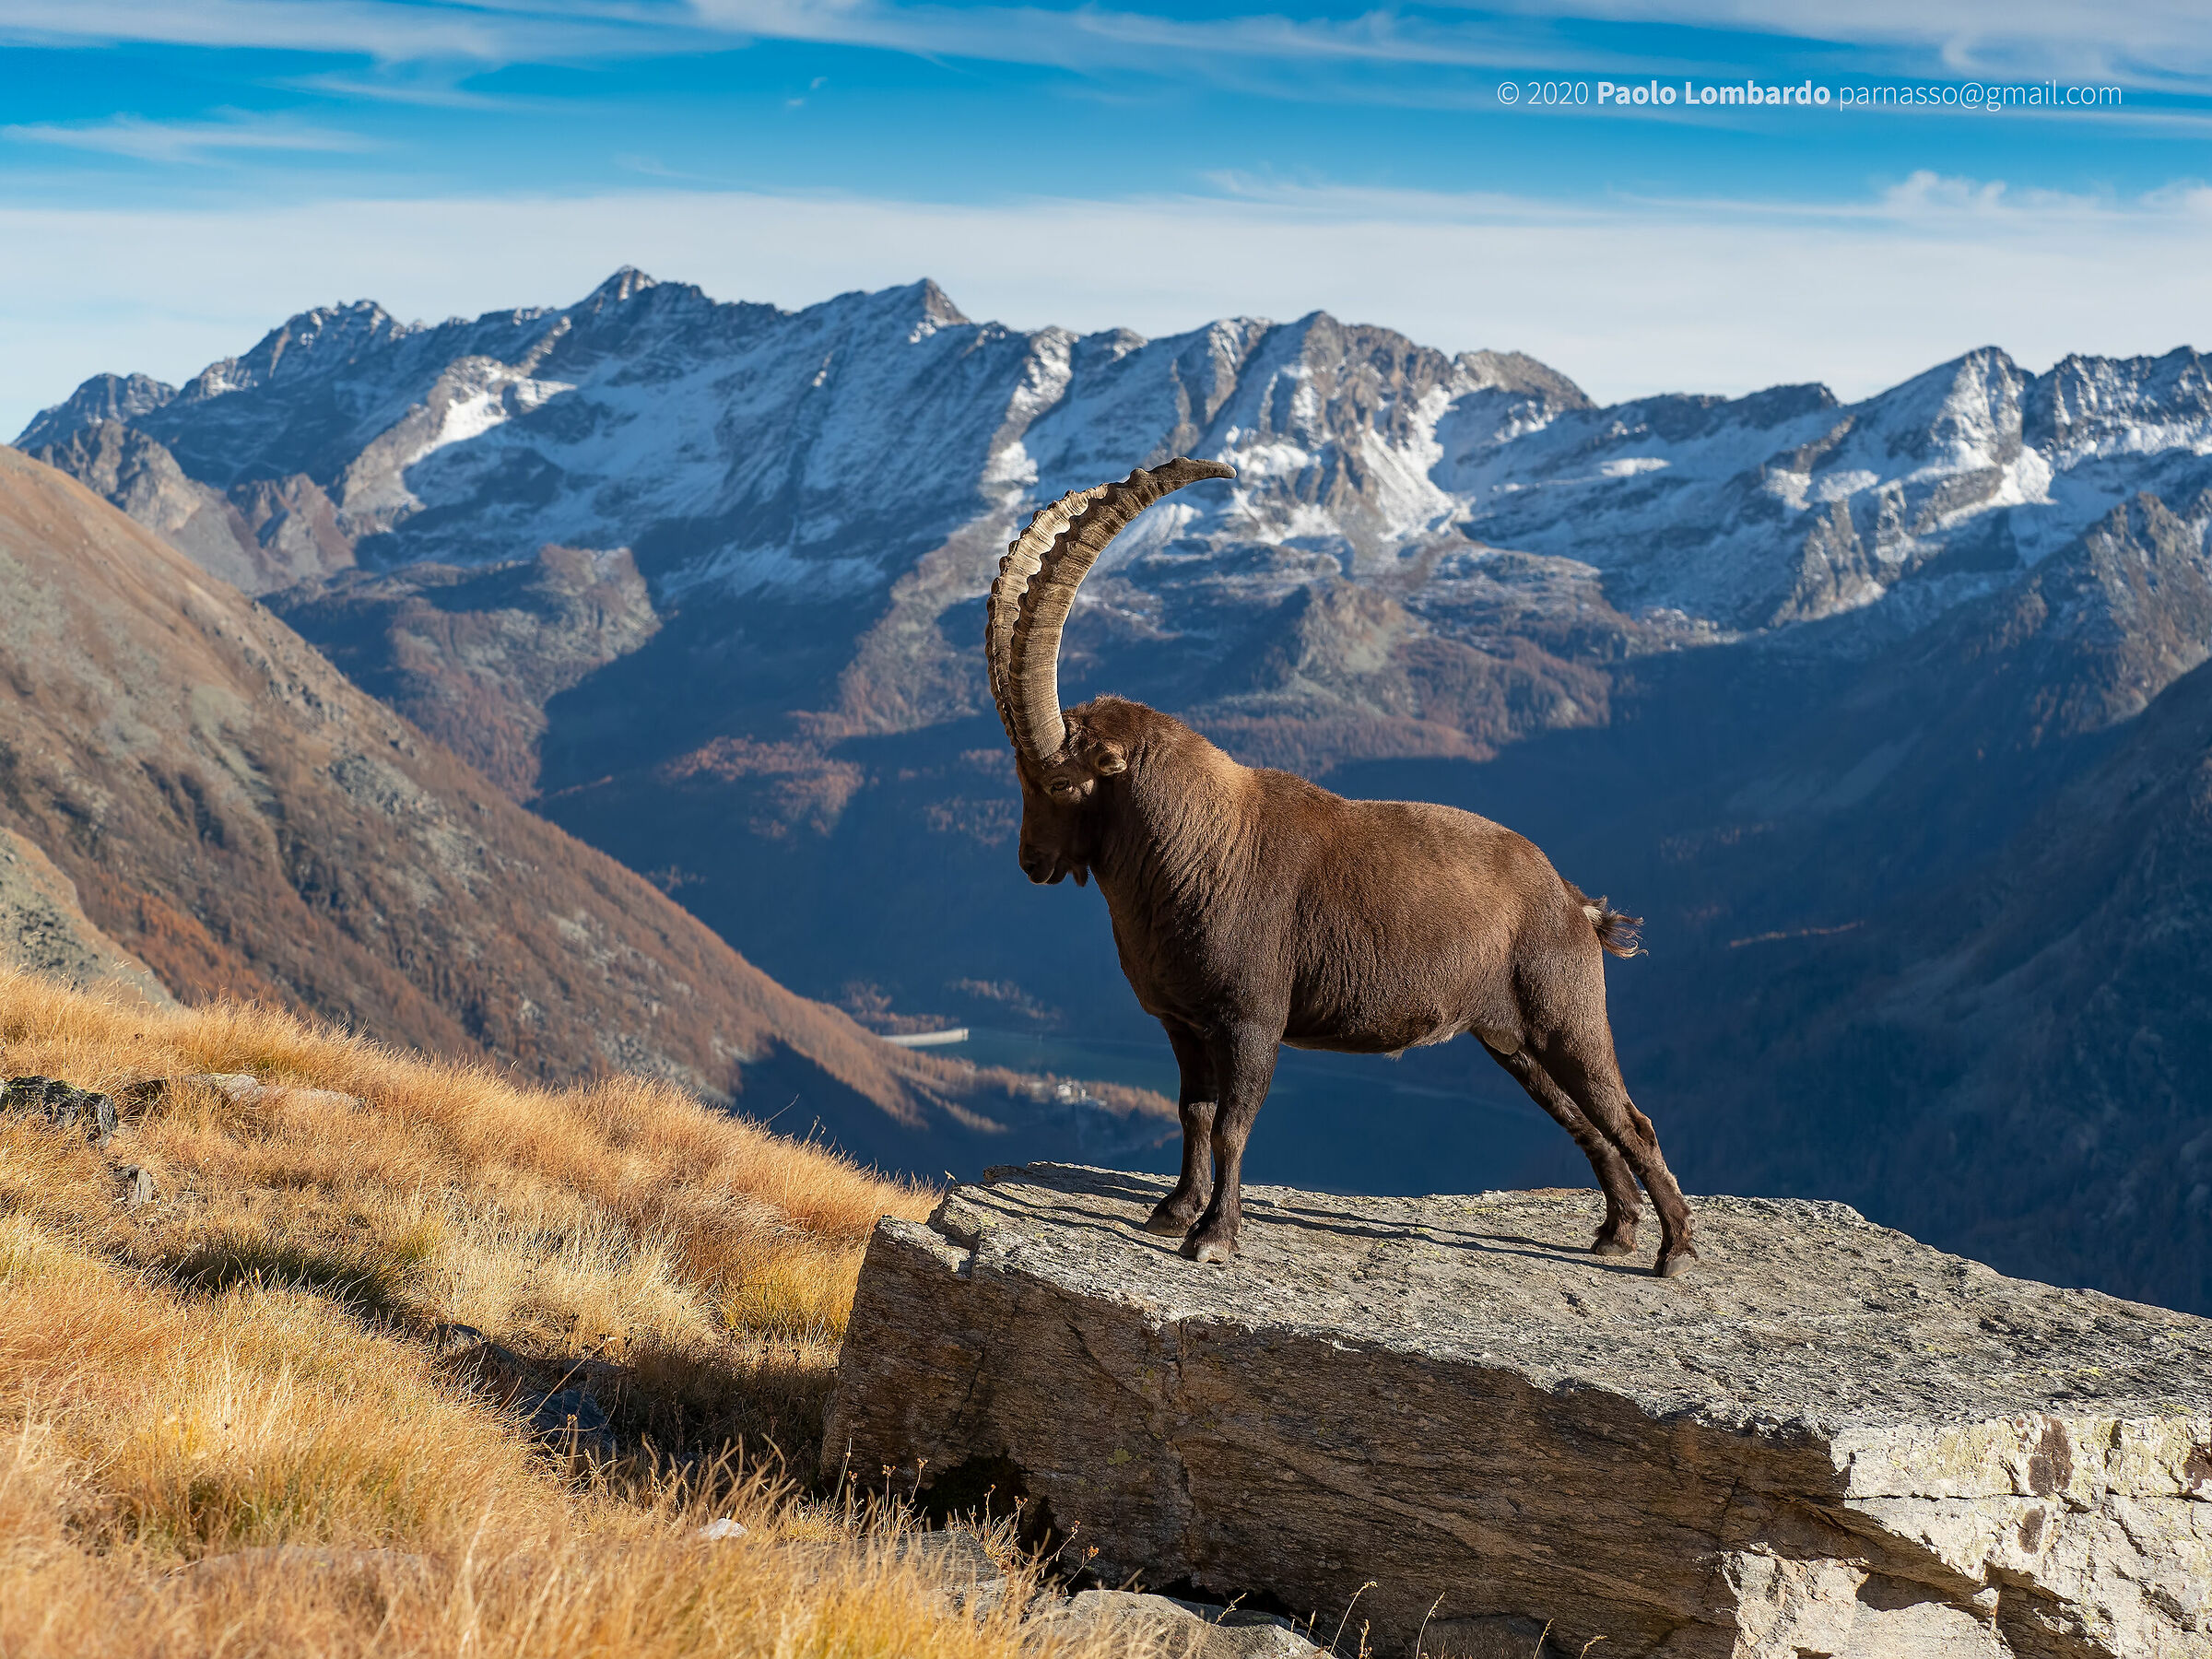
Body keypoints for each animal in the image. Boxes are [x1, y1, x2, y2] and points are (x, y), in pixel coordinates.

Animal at [984, 459, 1697, 1276]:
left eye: (1061, 783)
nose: (1031, 861)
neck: (1196, 847)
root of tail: (1572, 902)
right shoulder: (1184, 1024)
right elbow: (1193, 1112)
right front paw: (1172, 1212)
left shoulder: (1252, 1019)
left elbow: (1232, 1125)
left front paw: (1215, 1237)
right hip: (1511, 1041)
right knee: (1584, 1121)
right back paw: (1617, 1231)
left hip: (1566, 1017)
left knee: (1630, 1119)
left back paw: (1675, 1250)